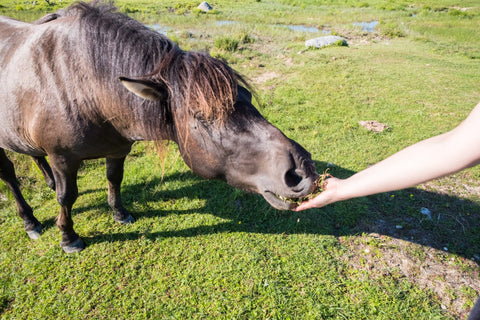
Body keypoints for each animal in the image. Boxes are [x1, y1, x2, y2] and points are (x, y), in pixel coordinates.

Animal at [0, 2, 318, 252]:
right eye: (201, 116)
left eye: (249, 97)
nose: (302, 170)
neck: (85, 88)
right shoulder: (62, 158)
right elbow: (67, 197)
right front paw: (68, 237)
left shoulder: (117, 149)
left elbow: (114, 178)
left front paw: (120, 213)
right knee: (10, 177)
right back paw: (30, 221)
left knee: (33, 155)